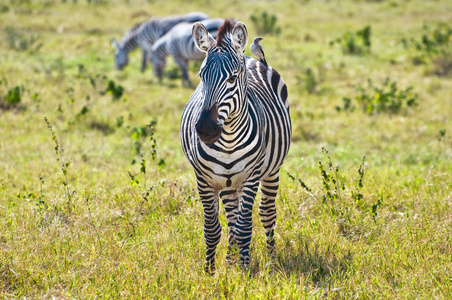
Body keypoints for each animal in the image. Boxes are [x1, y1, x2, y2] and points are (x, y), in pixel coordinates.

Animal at [181, 19, 294, 272]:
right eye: (201, 76)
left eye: (232, 79)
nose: (206, 130)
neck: (229, 141)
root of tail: (252, 58)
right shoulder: (204, 180)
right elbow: (213, 229)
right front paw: (211, 271)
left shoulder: (251, 177)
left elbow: (244, 228)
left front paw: (245, 270)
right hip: (228, 182)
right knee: (232, 217)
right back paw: (231, 259)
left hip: (270, 172)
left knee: (266, 214)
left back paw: (271, 259)